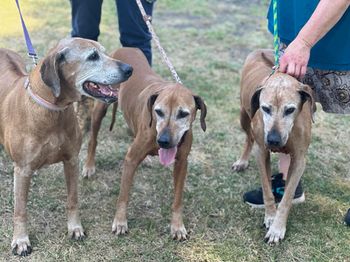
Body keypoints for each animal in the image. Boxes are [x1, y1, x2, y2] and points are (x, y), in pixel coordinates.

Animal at [0, 37, 133, 255]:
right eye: (93, 56)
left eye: (105, 52)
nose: (130, 69)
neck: (53, 109)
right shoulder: (22, 170)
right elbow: (20, 210)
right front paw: (20, 240)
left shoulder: (71, 160)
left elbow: (72, 199)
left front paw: (75, 228)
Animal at [83, 47, 206, 242]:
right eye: (158, 111)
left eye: (183, 114)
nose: (163, 141)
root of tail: (123, 48)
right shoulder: (130, 160)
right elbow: (123, 196)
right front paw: (120, 222)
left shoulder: (182, 163)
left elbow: (178, 200)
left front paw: (177, 226)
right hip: (99, 109)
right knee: (93, 140)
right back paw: (89, 166)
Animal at [232, 49, 314, 244]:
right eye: (265, 108)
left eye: (290, 110)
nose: (274, 140)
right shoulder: (262, 153)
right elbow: (267, 191)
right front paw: (270, 216)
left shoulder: (299, 160)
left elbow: (286, 198)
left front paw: (277, 228)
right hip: (243, 115)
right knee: (249, 138)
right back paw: (242, 161)